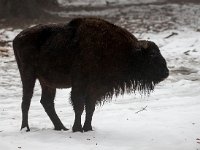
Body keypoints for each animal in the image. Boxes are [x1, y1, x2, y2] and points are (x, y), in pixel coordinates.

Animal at [12, 17, 169, 132]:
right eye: (152, 55)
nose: (166, 72)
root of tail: (17, 38)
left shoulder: (95, 87)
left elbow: (90, 107)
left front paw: (88, 128)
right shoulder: (79, 84)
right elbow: (79, 105)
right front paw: (77, 129)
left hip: (48, 82)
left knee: (46, 102)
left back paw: (61, 127)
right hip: (28, 75)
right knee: (26, 101)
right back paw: (26, 128)